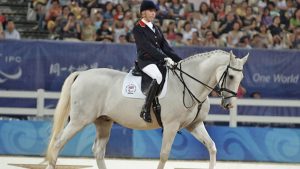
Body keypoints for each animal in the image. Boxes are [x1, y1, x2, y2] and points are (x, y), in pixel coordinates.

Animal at [45, 49, 248, 168]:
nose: (229, 104)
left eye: (241, 78)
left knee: (98, 151)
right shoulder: (171, 126)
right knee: (58, 143)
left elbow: (212, 147)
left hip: (103, 122)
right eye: (230, 76)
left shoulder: (194, 125)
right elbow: (164, 154)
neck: (189, 83)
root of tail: (82, 74)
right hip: (79, 120)